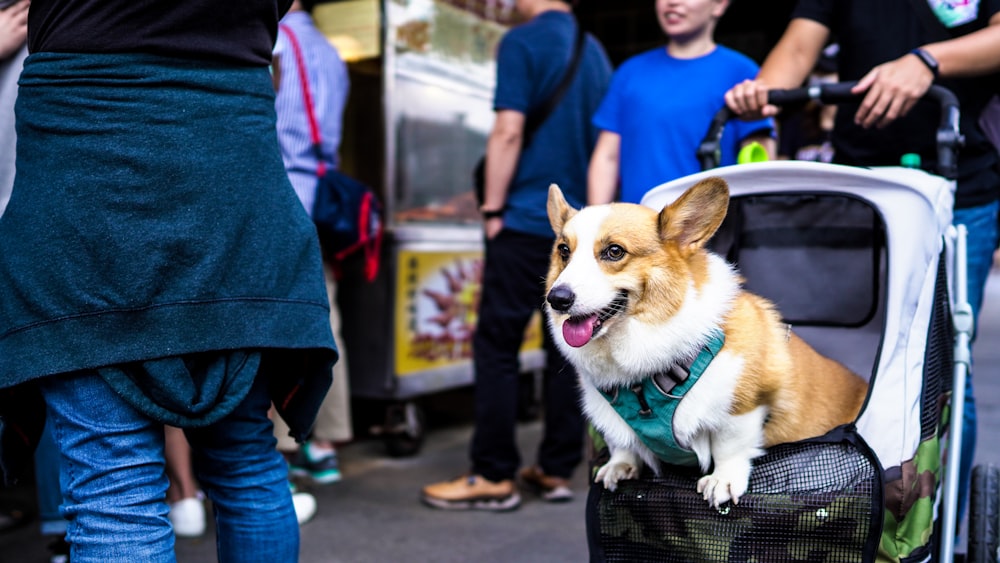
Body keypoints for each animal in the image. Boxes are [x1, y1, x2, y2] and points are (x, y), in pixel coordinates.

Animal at [548, 178, 868, 508]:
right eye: (564, 251)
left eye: (614, 252)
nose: (556, 299)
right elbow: (621, 442)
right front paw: (620, 465)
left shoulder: (743, 405)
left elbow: (731, 445)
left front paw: (722, 480)